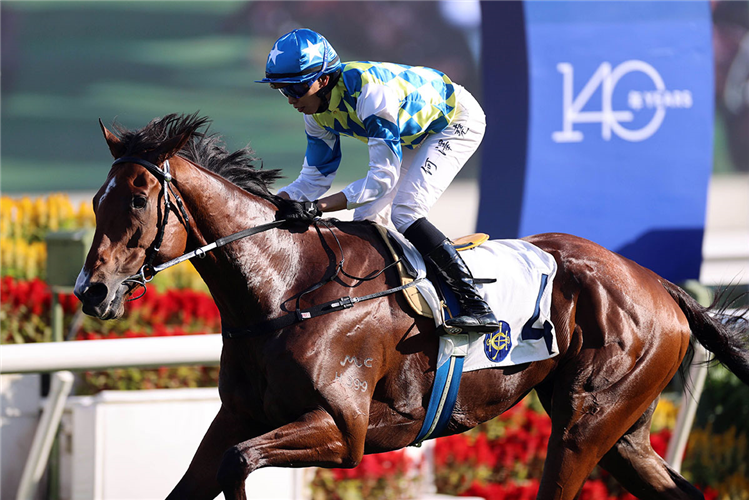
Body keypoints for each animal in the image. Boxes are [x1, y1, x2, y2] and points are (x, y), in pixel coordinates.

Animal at [74, 114, 748, 500]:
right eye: (96, 199)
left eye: (137, 201)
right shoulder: (237, 418)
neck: (286, 289)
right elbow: (202, 478)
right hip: (623, 433)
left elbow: (238, 466)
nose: (91, 291)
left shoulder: (342, 428)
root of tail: (657, 283)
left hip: (586, 421)